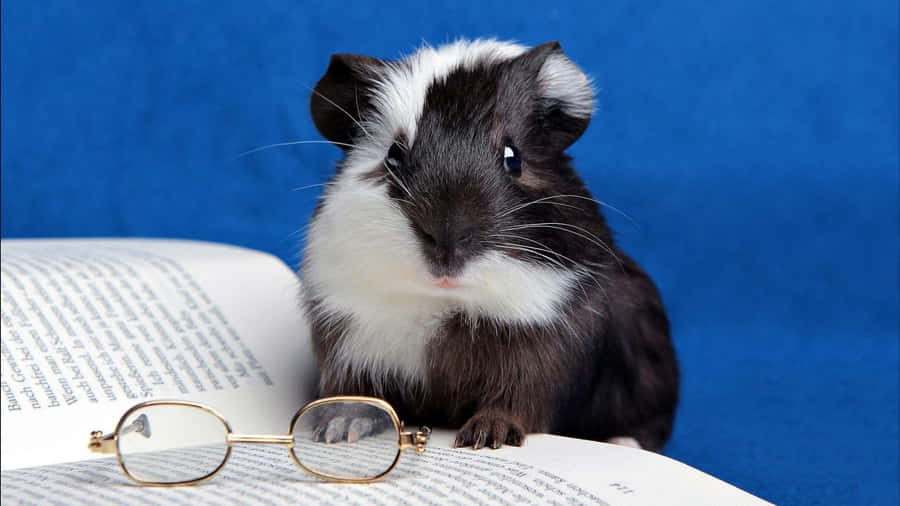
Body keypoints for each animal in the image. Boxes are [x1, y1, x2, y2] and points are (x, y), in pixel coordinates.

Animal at [301, 39, 679, 451]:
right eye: (393, 156)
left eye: (513, 158)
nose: (448, 239)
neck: (444, 302)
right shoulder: (345, 337)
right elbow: (356, 394)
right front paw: (337, 431)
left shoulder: (545, 350)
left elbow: (514, 401)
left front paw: (482, 439)